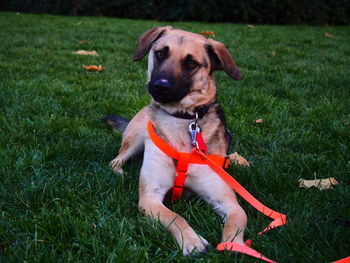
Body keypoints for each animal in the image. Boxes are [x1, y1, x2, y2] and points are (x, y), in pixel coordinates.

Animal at [105, 26, 247, 256]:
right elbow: (174, 217)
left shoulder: (227, 200)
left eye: (191, 63)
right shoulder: (150, 198)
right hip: (136, 138)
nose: (160, 86)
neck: (182, 119)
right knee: (116, 159)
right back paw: (120, 172)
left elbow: (235, 221)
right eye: (160, 53)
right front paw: (192, 240)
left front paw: (235, 245)